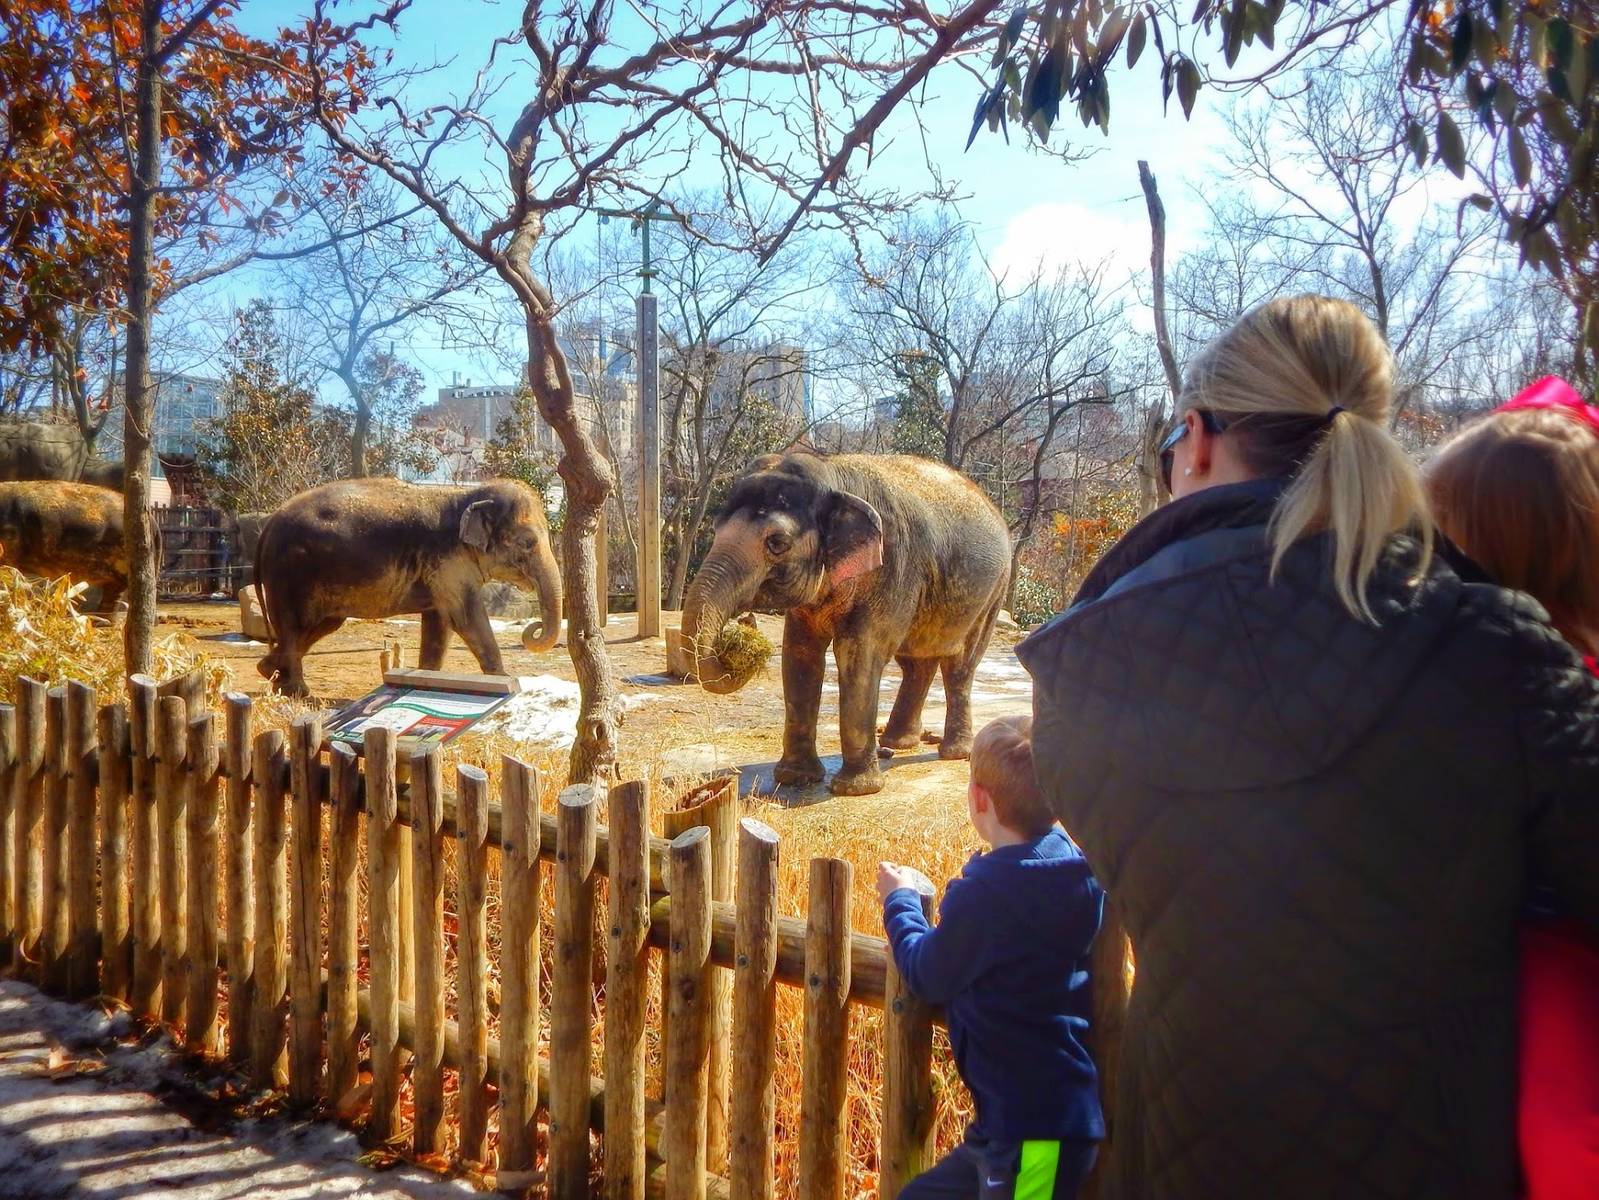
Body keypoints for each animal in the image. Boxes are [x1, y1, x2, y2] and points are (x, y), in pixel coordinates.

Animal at [253, 478, 563, 696]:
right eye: (528, 543)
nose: (533, 627)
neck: (466, 494)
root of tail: (268, 525)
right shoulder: (448, 561)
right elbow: (466, 617)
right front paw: (506, 684)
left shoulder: (441, 570)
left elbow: (440, 624)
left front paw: (428, 681)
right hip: (288, 573)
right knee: (294, 625)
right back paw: (299, 693)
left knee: (321, 625)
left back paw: (270, 673)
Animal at [682, 452, 1012, 796]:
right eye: (715, 531)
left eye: (777, 543)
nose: (746, 623)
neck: (833, 473)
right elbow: (799, 655)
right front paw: (795, 779)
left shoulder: (892, 566)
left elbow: (858, 654)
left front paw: (856, 790)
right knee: (916, 663)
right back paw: (898, 743)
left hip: (995, 590)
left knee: (959, 665)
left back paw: (954, 752)